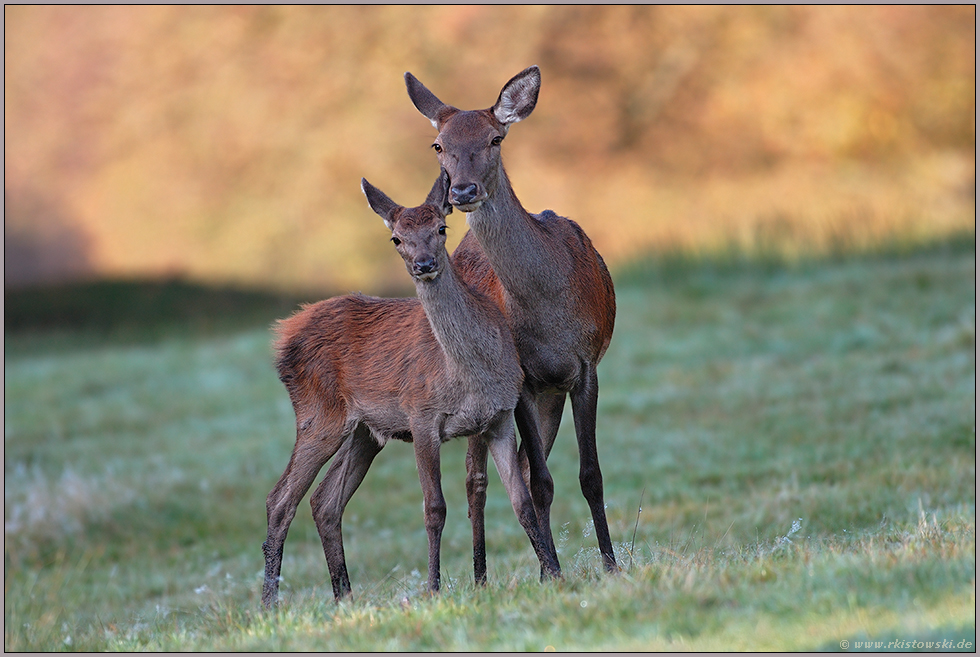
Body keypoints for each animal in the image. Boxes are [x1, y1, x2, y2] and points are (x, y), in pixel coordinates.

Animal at [260, 169, 560, 604]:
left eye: (441, 228)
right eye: (396, 239)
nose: (424, 264)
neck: (470, 377)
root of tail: (283, 335)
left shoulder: (500, 417)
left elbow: (520, 501)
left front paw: (554, 573)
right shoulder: (421, 416)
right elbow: (434, 508)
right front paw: (433, 589)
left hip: (365, 430)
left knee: (324, 501)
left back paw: (344, 599)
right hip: (319, 415)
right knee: (280, 499)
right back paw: (269, 606)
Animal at [402, 68, 616, 580]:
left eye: (495, 138)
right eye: (438, 144)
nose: (461, 192)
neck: (550, 310)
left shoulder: (585, 366)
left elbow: (590, 475)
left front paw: (612, 565)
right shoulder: (521, 380)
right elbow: (539, 482)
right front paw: (553, 572)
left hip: (551, 393)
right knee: (478, 478)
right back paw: (481, 576)